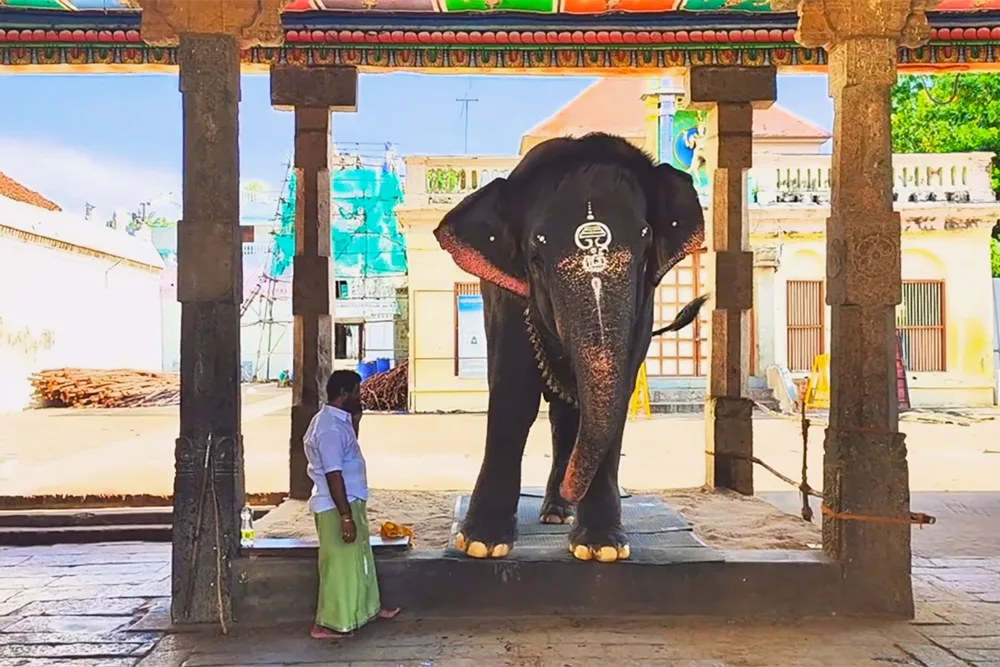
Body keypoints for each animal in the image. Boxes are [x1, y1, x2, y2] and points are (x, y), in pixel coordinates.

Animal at [433, 132, 707, 563]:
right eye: (535, 256)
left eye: (645, 250)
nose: (571, 487)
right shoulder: (509, 301)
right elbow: (514, 394)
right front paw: (480, 545)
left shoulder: (642, 312)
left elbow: (617, 396)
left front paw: (603, 549)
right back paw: (554, 511)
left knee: (570, 416)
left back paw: (559, 512)